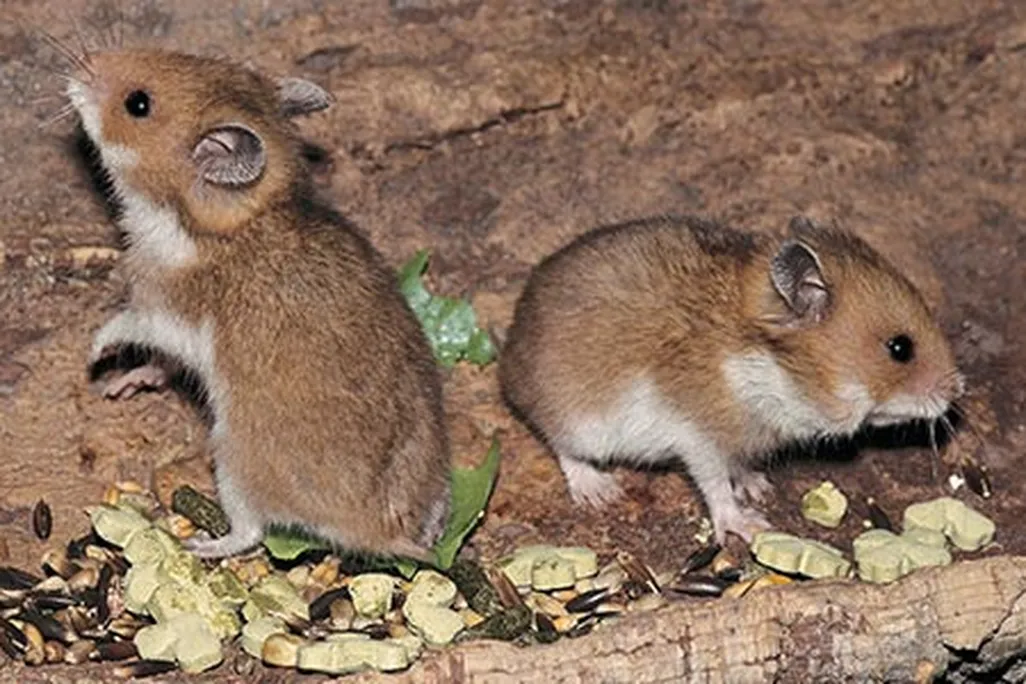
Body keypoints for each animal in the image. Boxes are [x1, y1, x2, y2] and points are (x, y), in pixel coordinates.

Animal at [62, 48, 451, 561]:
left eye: (138, 104)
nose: (76, 66)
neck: (221, 220)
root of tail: (382, 533)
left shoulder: (167, 316)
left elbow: (127, 326)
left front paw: (95, 355)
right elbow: (159, 364)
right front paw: (120, 386)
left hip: (232, 462)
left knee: (249, 533)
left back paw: (198, 546)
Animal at [499, 215, 965, 543]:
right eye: (900, 348)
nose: (957, 391)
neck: (776, 366)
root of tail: (508, 369)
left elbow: (737, 468)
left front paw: (759, 488)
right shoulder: (697, 437)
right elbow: (714, 485)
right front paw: (750, 524)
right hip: (580, 420)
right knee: (562, 445)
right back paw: (599, 490)